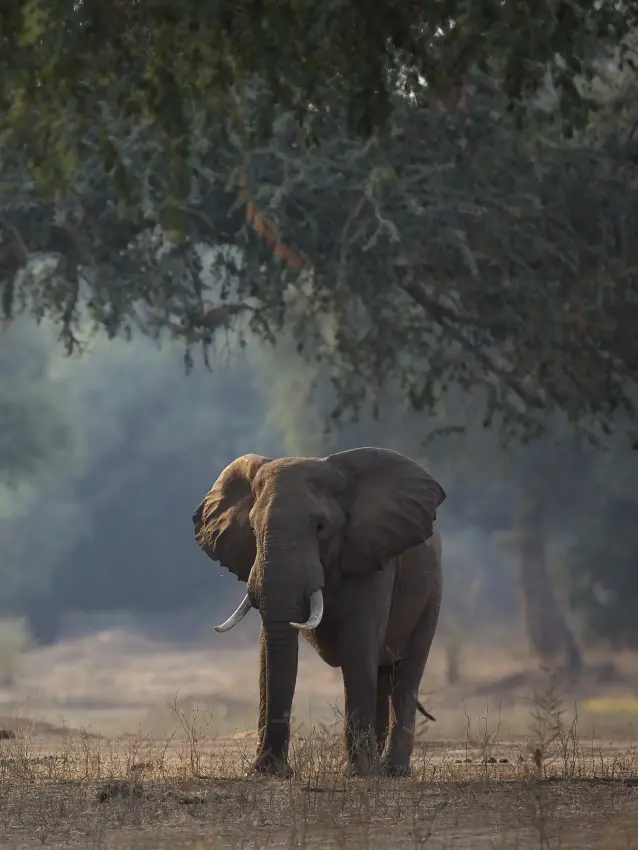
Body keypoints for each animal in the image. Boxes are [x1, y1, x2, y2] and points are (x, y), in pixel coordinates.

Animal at [192, 446, 446, 778]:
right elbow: (267, 653)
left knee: (406, 673)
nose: (276, 769)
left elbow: (357, 646)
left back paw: (392, 771)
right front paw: (266, 772)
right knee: (382, 673)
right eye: (253, 529)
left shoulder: (370, 558)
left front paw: (358, 774)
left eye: (321, 528)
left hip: (432, 591)